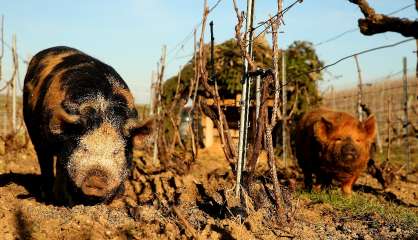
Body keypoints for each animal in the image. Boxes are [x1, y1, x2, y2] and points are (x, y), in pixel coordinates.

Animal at [22, 46, 150, 204]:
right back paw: (47, 194)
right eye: (84, 148)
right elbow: (61, 168)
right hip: (33, 129)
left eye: (116, 151)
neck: (102, 106)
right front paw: (65, 201)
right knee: (44, 158)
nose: (97, 179)